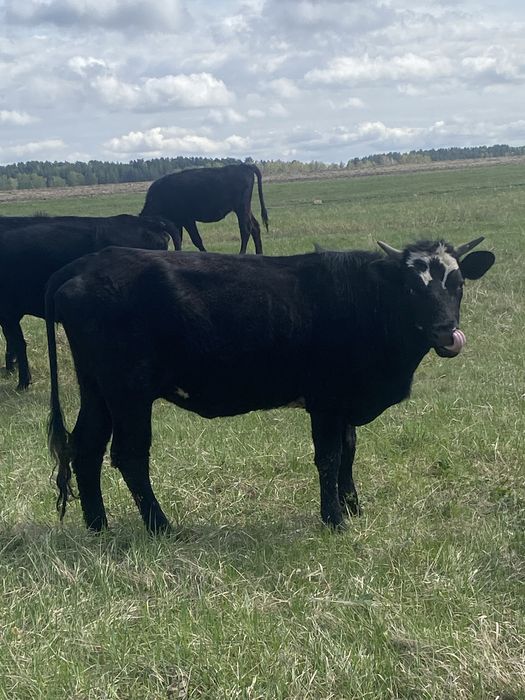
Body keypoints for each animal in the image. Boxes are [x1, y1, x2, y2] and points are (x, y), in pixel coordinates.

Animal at [46, 237, 494, 533]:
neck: (365, 301)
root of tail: (84, 265)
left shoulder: (345, 401)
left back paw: (99, 526)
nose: (446, 331)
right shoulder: (326, 400)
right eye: (412, 287)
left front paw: (352, 507)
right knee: (129, 455)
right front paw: (334, 519)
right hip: (129, 393)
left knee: (85, 447)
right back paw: (162, 527)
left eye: (458, 284)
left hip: (98, 390)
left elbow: (349, 451)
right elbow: (329, 457)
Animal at [140, 163, 269, 254]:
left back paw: (241, 253)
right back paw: (259, 253)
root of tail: (244, 166)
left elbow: (196, 240)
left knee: (246, 229)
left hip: (241, 208)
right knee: (255, 227)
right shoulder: (177, 222)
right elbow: (179, 239)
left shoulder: (187, 220)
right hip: (245, 209)